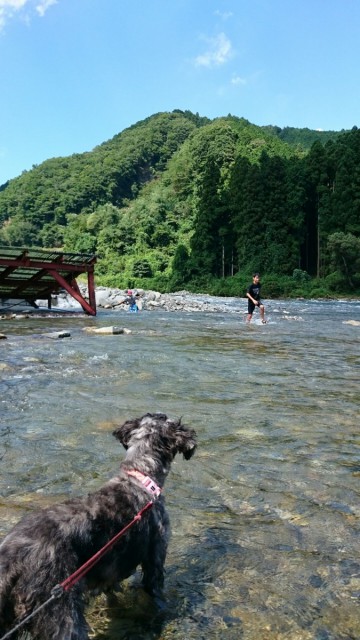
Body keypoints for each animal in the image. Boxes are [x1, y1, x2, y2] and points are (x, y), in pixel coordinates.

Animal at [0, 416, 197, 640]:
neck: (140, 478)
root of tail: (12, 559)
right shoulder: (155, 556)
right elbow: (155, 592)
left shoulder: (109, 574)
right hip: (63, 615)